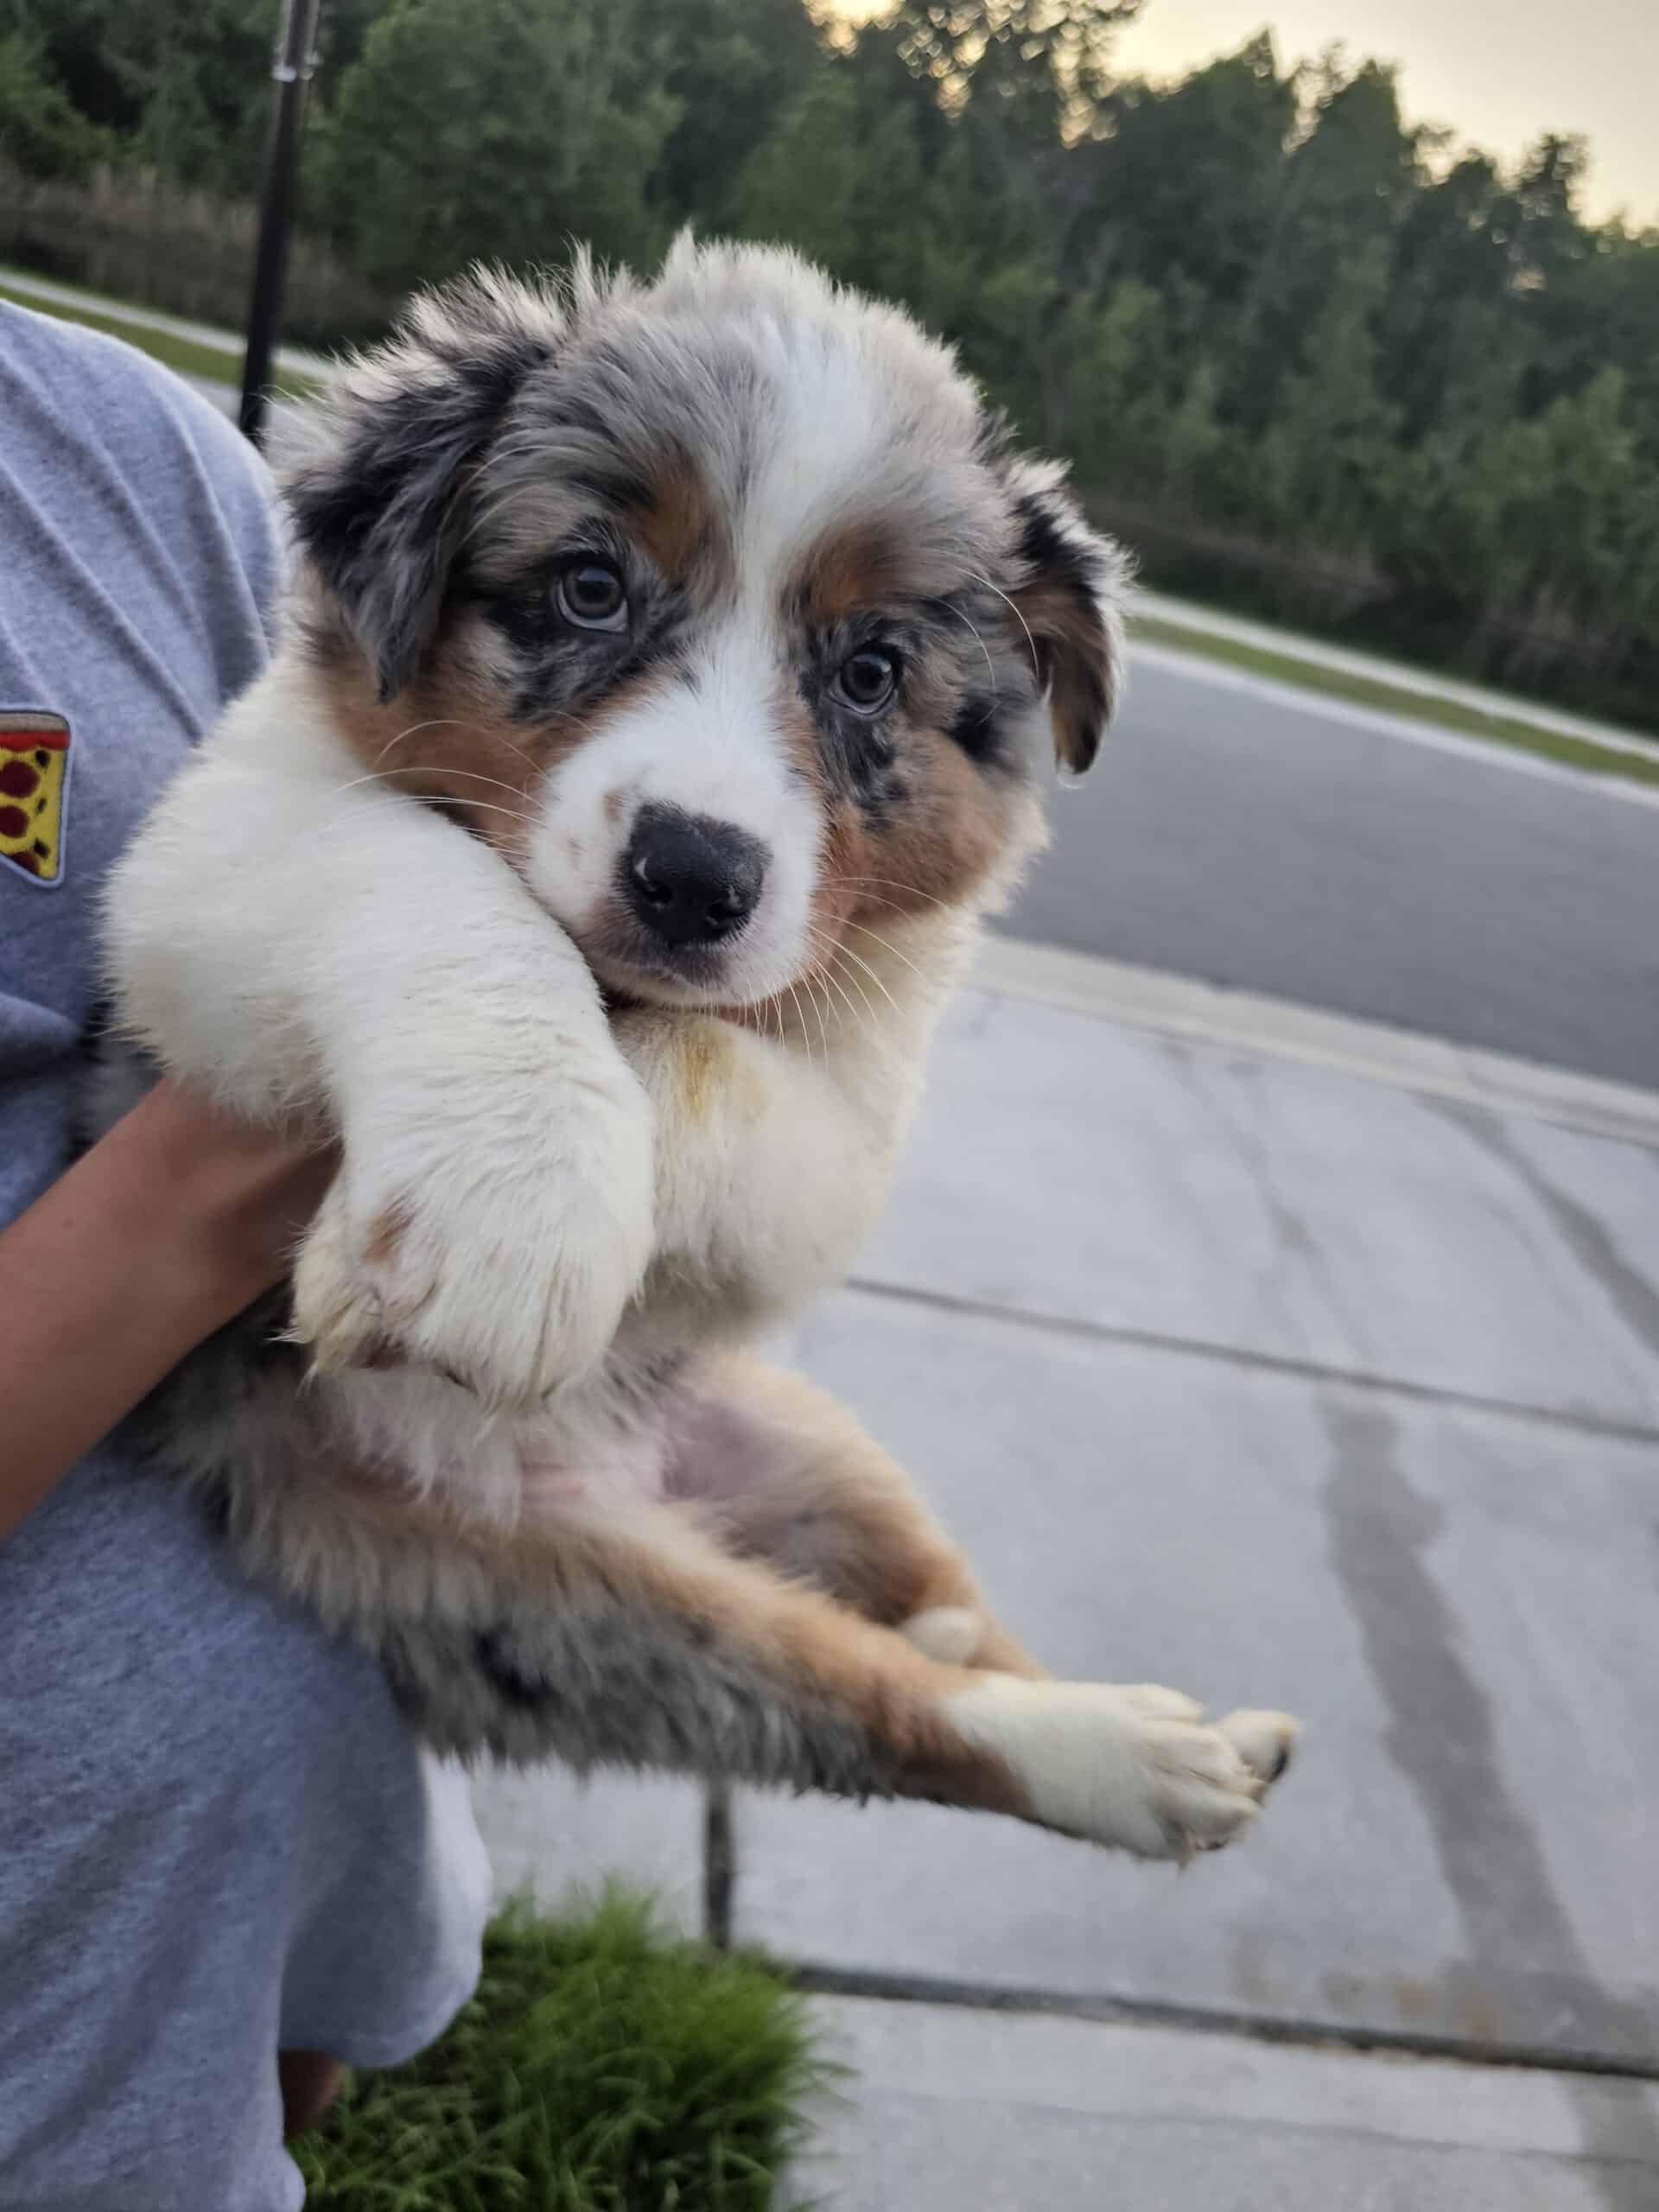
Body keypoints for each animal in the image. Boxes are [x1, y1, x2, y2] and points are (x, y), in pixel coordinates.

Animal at [104, 242, 1300, 1858]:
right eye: (590, 588)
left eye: (871, 674)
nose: (692, 875)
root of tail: (627, 1483)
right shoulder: (211, 859)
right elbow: (437, 880)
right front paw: (513, 1217)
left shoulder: (846, 1126)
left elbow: (704, 1062)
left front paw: (447, 1224)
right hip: (521, 1589)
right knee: (863, 1689)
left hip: (818, 1453)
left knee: (933, 1645)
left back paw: (1170, 1747)